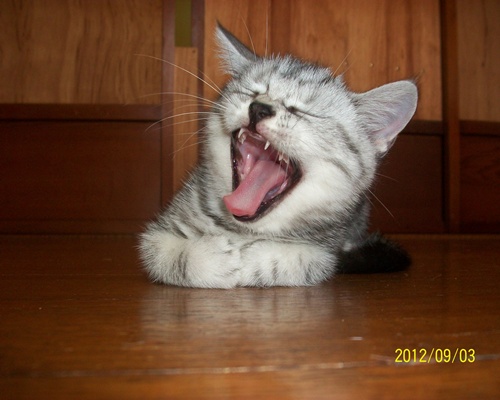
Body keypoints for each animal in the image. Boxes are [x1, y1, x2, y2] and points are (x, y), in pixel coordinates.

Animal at [139, 24, 417, 288]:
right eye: (252, 92)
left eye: (300, 112)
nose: (259, 108)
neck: (242, 230)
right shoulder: (157, 234)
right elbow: (166, 252)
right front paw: (210, 258)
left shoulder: (326, 252)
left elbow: (304, 260)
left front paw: (255, 260)